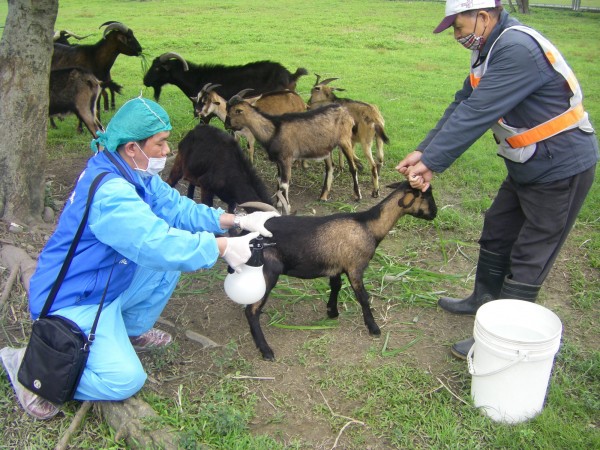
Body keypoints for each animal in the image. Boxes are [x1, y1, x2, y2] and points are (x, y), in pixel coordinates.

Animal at [243, 181, 436, 360]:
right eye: (426, 195)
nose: (435, 213)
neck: (369, 226)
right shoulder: (355, 266)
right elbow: (363, 297)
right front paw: (373, 328)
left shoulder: (336, 266)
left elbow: (336, 286)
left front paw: (332, 311)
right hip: (267, 271)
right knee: (251, 310)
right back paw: (266, 350)